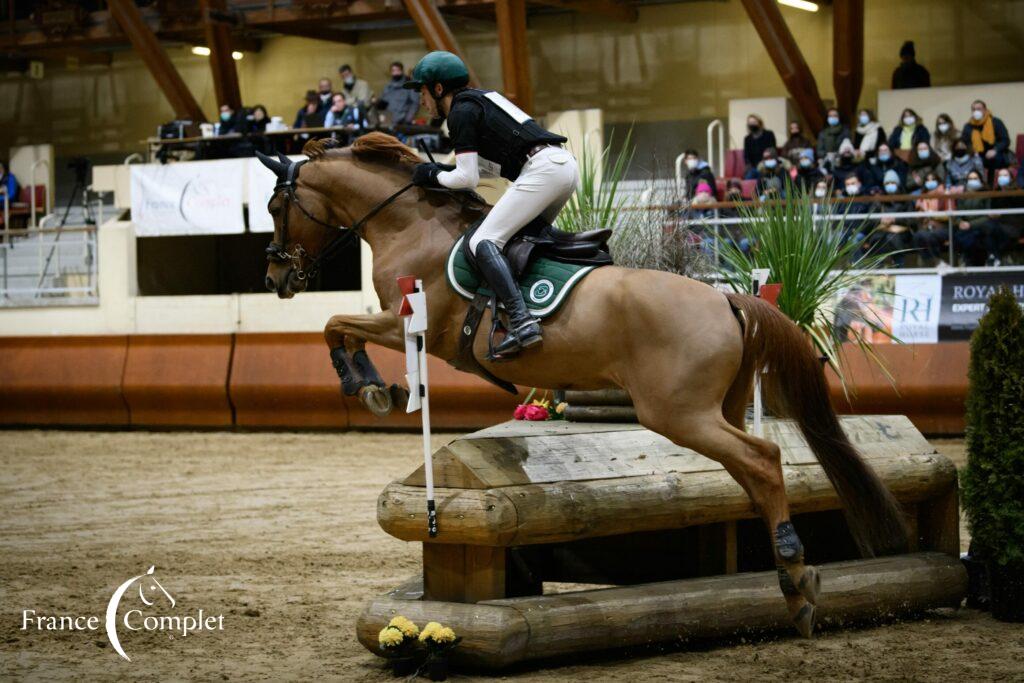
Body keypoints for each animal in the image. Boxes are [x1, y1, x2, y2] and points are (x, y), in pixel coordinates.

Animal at [258, 132, 913, 634]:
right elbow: (339, 327)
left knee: (764, 457)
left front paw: (368, 388)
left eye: (273, 208)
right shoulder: (406, 326)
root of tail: (728, 299)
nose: (275, 278)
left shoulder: (413, 325)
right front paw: (380, 389)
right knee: (752, 470)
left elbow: (335, 325)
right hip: (715, 408)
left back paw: (795, 577)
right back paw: (789, 576)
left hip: (678, 413)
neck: (409, 224)